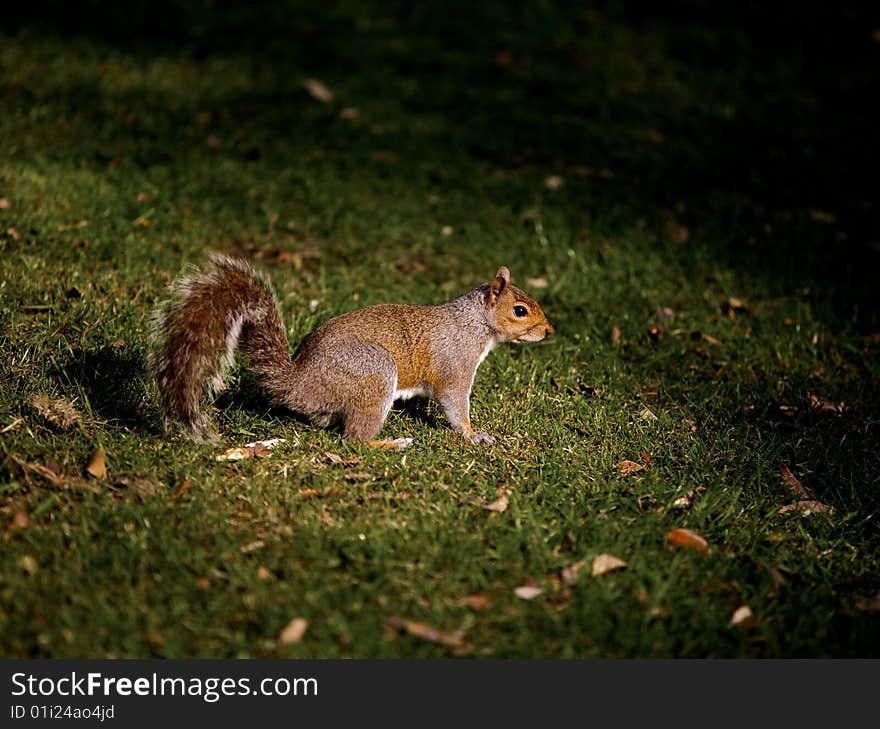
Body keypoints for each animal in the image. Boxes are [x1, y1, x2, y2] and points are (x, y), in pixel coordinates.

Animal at [149, 253, 552, 446]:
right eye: (520, 310)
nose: (549, 331)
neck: (474, 323)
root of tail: (299, 383)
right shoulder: (454, 365)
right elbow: (454, 404)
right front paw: (473, 435)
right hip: (374, 372)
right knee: (354, 441)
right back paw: (389, 443)